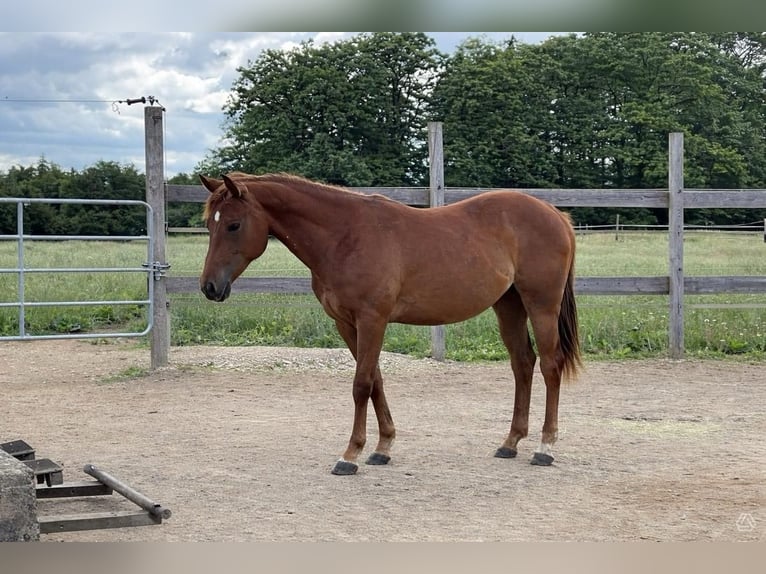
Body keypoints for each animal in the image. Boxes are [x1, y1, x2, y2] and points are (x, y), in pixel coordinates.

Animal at [198, 172, 581, 475]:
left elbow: (361, 384)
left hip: (541, 305)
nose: (209, 287)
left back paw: (545, 448)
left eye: (233, 225)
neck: (344, 236)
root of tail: (555, 214)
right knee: (523, 364)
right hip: (509, 306)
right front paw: (383, 448)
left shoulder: (373, 320)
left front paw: (350, 455)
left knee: (550, 366)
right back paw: (510, 442)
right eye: (209, 224)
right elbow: (376, 381)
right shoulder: (347, 324)